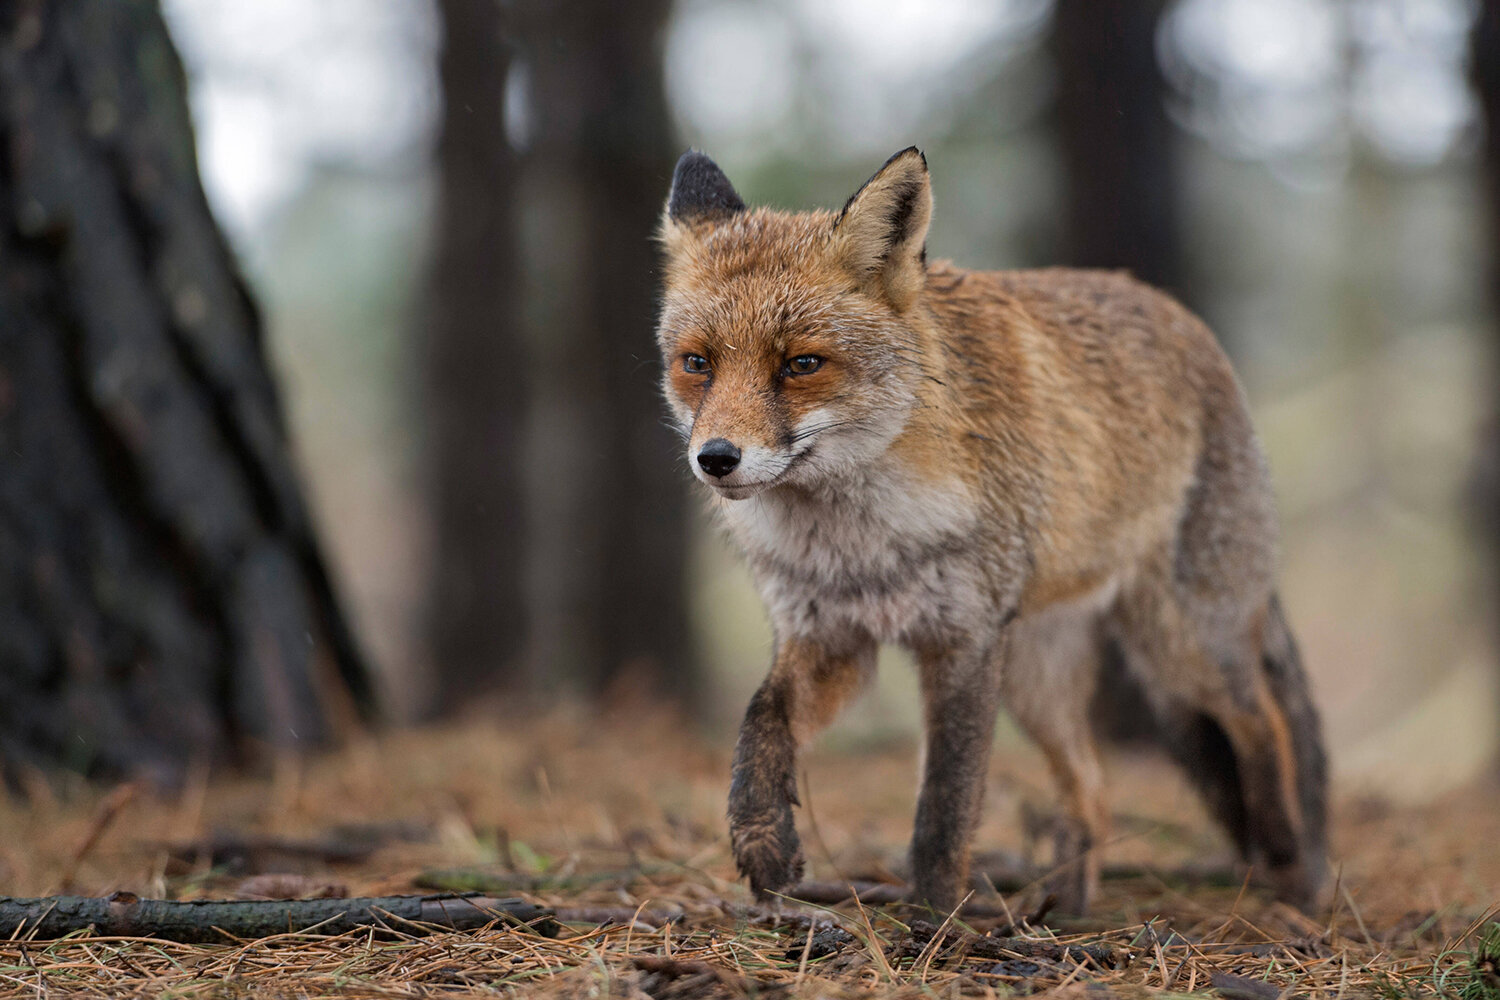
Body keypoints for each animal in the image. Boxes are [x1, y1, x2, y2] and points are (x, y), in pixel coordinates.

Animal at [655, 146, 1328, 915]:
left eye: (800, 364)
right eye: (697, 363)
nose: (716, 458)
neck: (859, 546)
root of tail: (1184, 318)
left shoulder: (965, 639)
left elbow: (944, 807)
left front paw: (933, 917)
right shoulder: (830, 638)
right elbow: (759, 723)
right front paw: (763, 842)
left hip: (1180, 645)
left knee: (1262, 722)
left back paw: (1289, 861)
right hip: (1040, 679)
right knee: (1093, 789)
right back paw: (1066, 907)